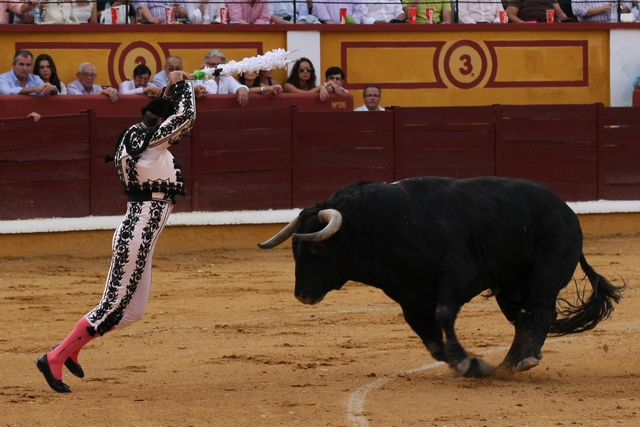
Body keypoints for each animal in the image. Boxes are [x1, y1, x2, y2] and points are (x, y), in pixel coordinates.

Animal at [258, 177, 624, 378]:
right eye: (295, 250)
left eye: (318, 248)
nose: (303, 295)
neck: (383, 224)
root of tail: (568, 212)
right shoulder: (408, 299)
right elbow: (432, 341)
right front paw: (474, 366)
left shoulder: (458, 275)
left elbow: (444, 316)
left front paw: (464, 363)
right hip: (508, 289)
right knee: (523, 318)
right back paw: (508, 364)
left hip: (548, 270)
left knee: (543, 310)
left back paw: (527, 360)